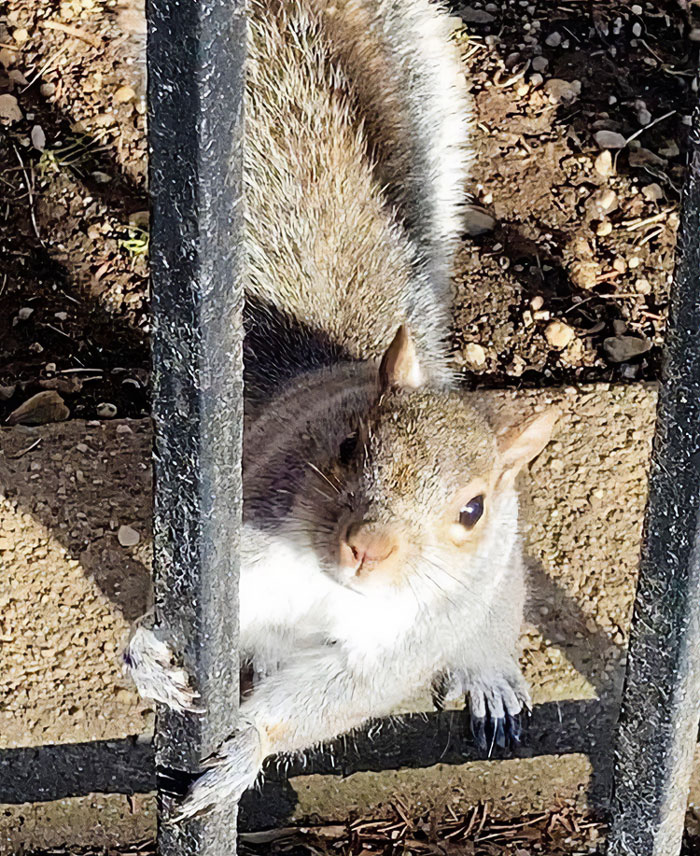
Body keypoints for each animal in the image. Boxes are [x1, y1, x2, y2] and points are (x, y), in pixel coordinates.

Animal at [126, 0, 560, 824]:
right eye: (349, 446)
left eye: (473, 510)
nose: (369, 546)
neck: (332, 587)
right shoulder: (247, 551)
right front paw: (150, 658)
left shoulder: (395, 648)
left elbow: (331, 700)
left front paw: (243, 752)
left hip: (494, 593)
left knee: (493, 625)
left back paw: (490, 680)